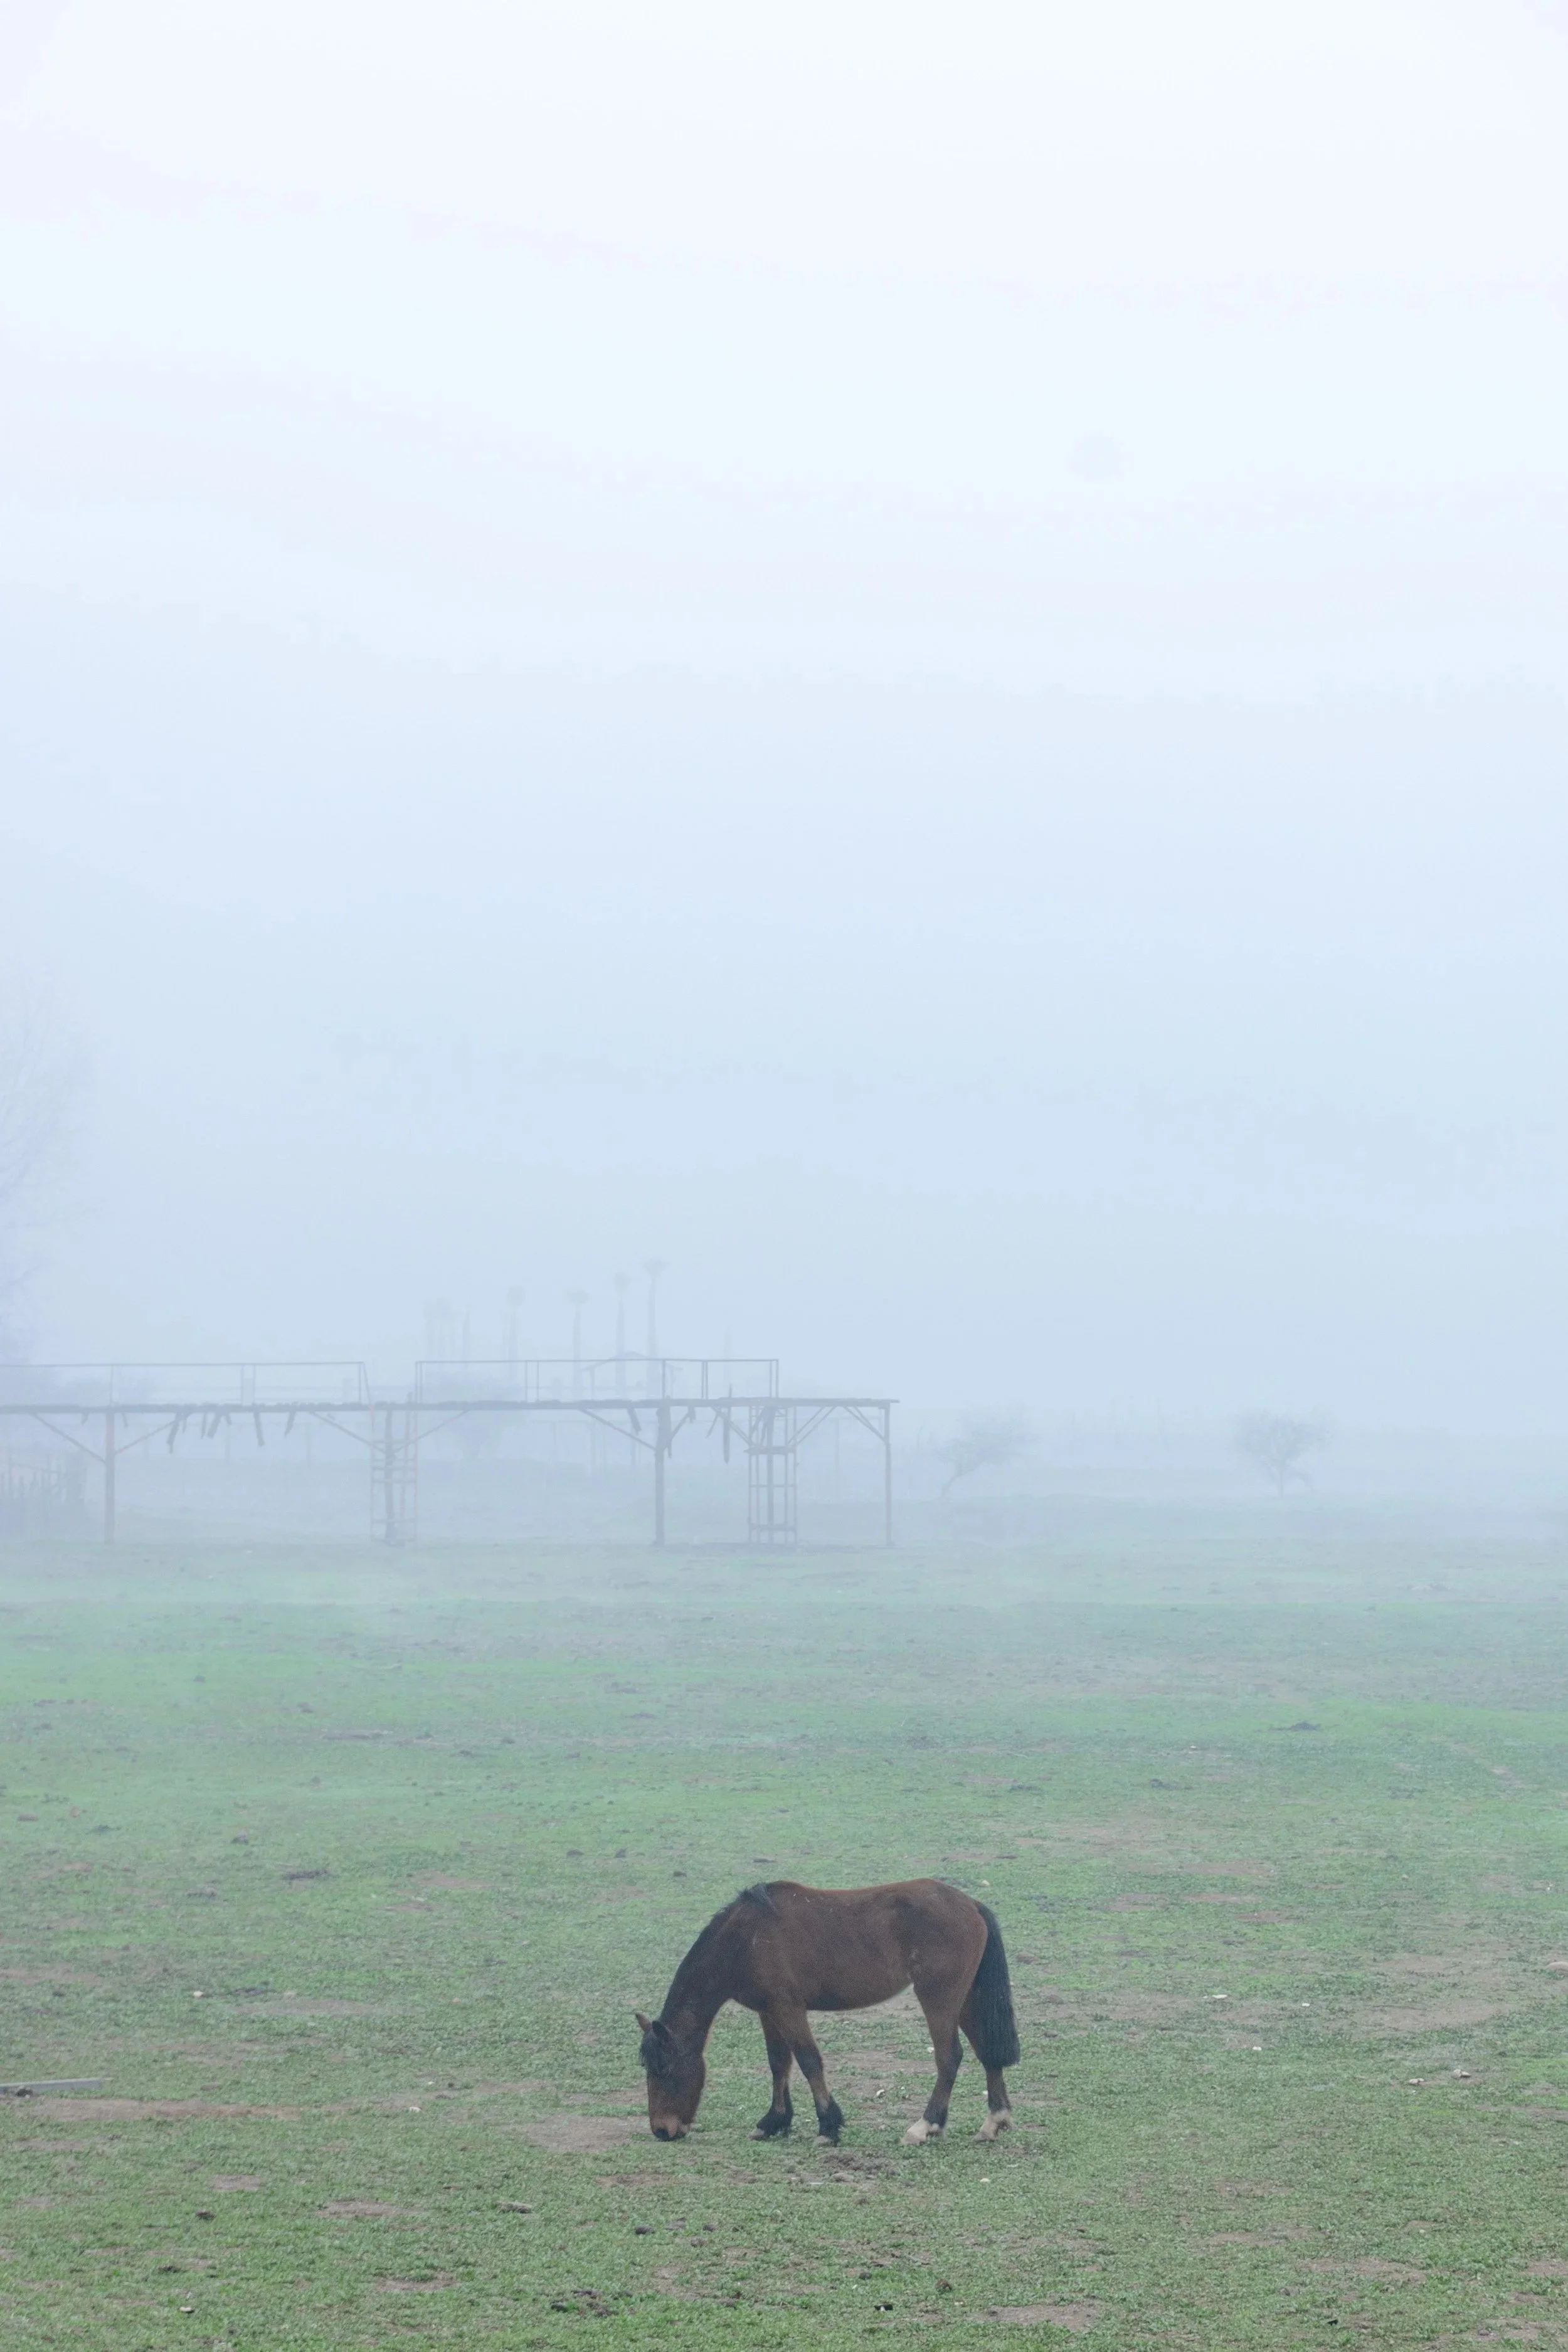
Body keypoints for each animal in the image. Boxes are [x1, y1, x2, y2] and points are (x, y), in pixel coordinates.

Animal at [635, 1877, 1019, 2145]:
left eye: (664, 2069)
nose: (662, 2130)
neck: (744, 1940)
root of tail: (971, 1904)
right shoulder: (768, 2013)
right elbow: (779, 2064)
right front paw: (774, 2122)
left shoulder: (788, 2009)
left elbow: (808, 2061)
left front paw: (828, 2126)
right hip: (967, 1999)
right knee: (987, 2053)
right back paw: (994, 2122)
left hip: (938, 1999)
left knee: (949, 2057)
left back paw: (925, 2126)